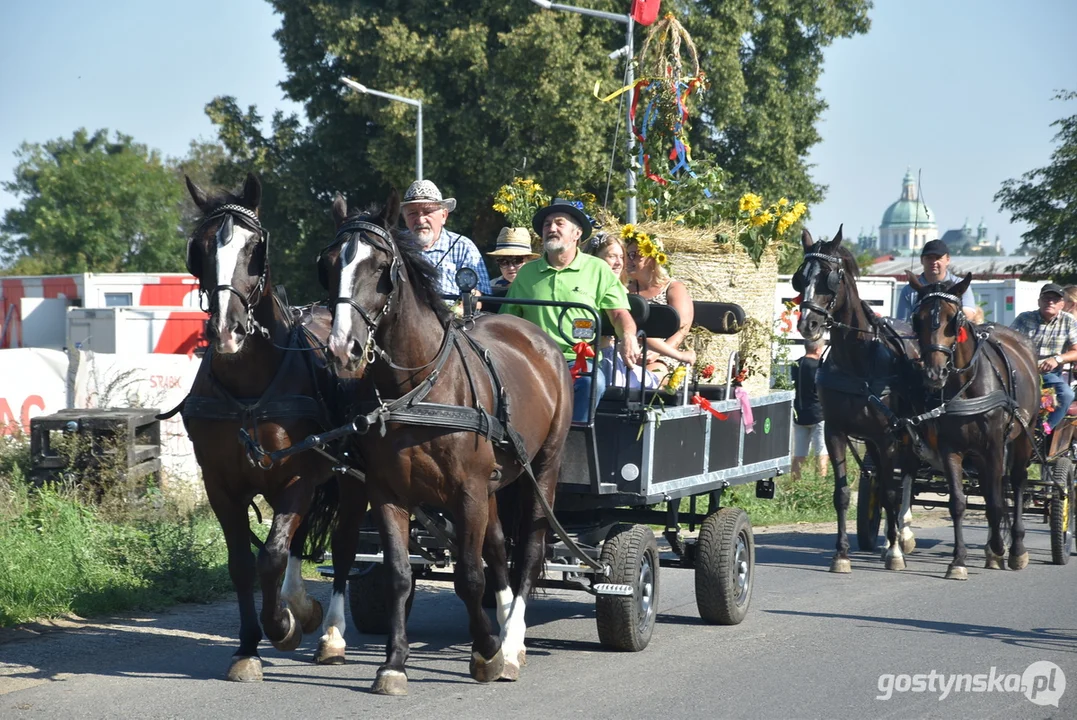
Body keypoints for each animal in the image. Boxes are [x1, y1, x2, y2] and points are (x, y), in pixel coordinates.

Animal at [183, 174, 368, 680]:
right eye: (199, 248)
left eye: (254, 248)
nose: (227, 331)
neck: (250, 386)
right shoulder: (220, 483)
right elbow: (242, 563)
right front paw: (248, 646)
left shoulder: (299, 475)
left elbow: (270, 556)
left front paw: (280, 627)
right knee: (299, 541)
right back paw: (299, 605)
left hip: (351, 479)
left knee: (342, 548)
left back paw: (329, 634)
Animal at [796, 229, 921, 572]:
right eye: (801, 278)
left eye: (830, 278)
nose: (807, 324)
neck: (857, 361)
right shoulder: (835, 432)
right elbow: (842, 494)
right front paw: (841, 554)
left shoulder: (888, 435)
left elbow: (891, 491)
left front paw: (895, 552)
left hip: (905, 435)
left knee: (905, 478)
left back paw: (902, 535)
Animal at [904, 272, 1038, 576]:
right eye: (917, 319)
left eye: (954, 319)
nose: (935, 373)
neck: (967, 385)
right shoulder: (950, 448)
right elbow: (958, 502)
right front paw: (958, 561)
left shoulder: (995, 446)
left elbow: (998, 502)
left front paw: (999, 548)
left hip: (1023, 437)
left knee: (1017, 483)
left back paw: (1015, 549)